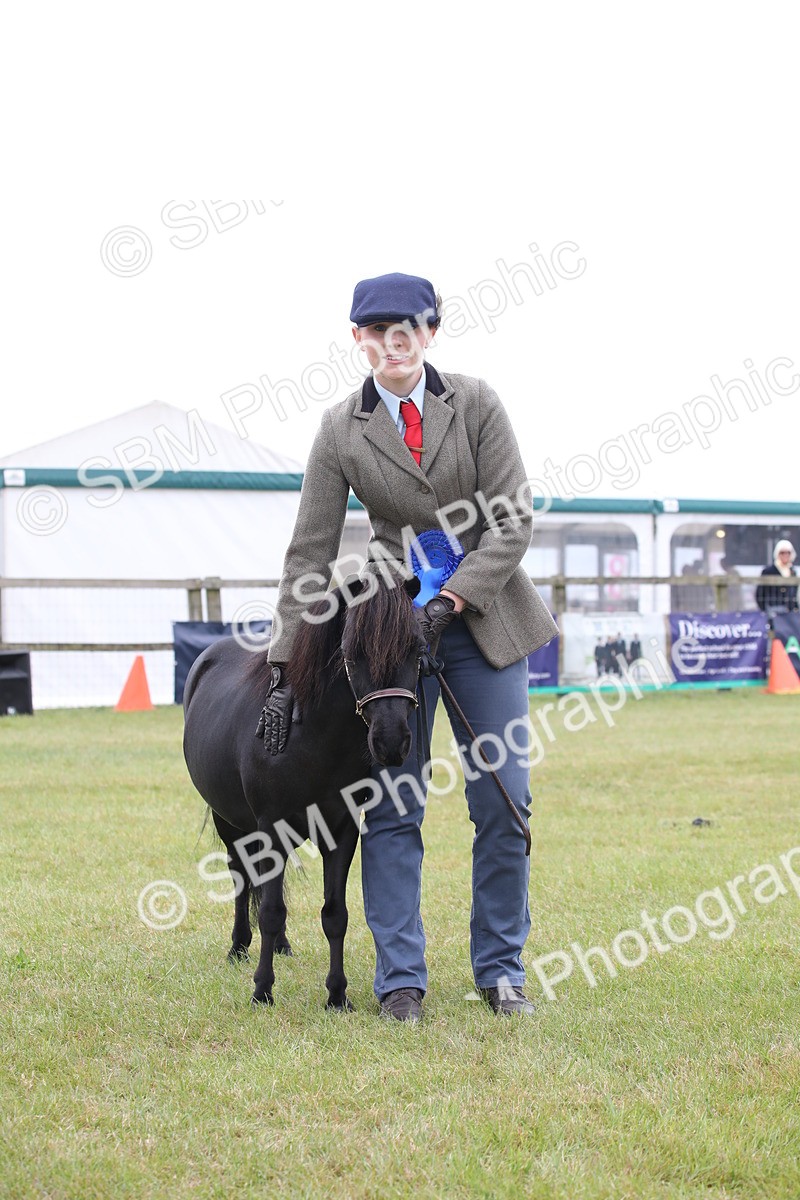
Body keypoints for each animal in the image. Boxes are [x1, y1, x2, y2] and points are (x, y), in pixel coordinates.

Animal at [182, 574, 423, 1010]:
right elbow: (270, 911)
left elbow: (335, 914)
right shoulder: (271, 828)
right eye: (351, 652)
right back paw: (238, 948)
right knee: (242, 877)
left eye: (417, 647)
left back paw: (281, 946)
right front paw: (262, 990)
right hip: (230, 822)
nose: (391, 742)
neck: (311, 737)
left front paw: (337, 995)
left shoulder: (342, 830)